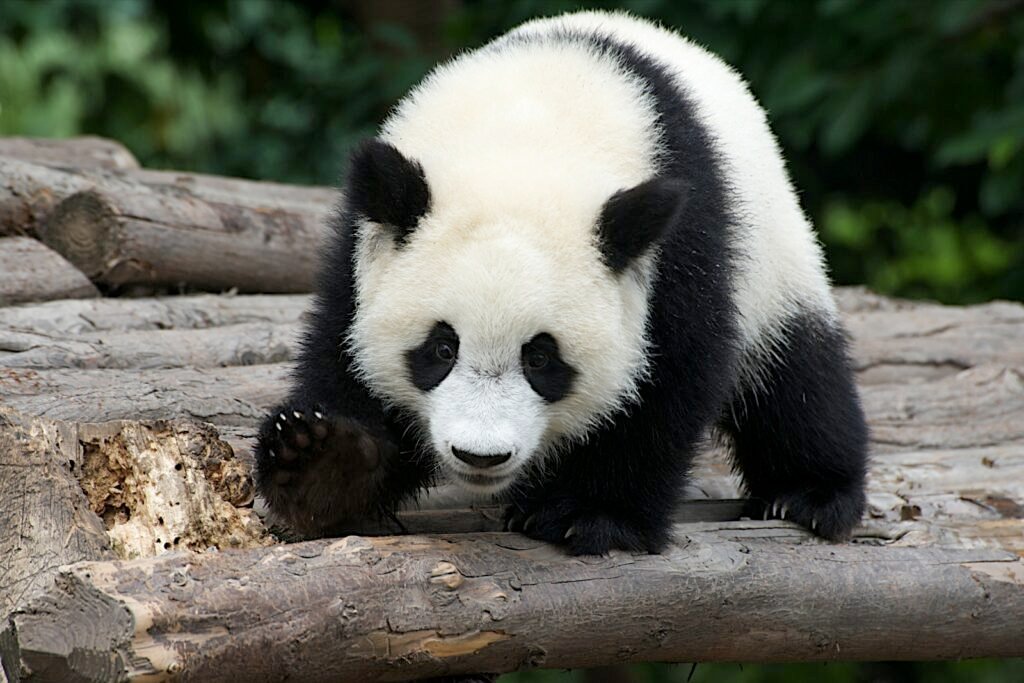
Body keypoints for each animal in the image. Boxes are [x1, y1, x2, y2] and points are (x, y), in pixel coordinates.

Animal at [255, 10, 869, 555]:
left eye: (541, 358)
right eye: (441, 348)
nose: (481, 456)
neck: (527, 136)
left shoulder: (681, 249)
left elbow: (668, 375)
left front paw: (591, 515)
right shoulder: (365, 246)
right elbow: (342, 352)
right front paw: (321, 464)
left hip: (774, 255)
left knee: (796, 375)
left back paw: (808, 494)